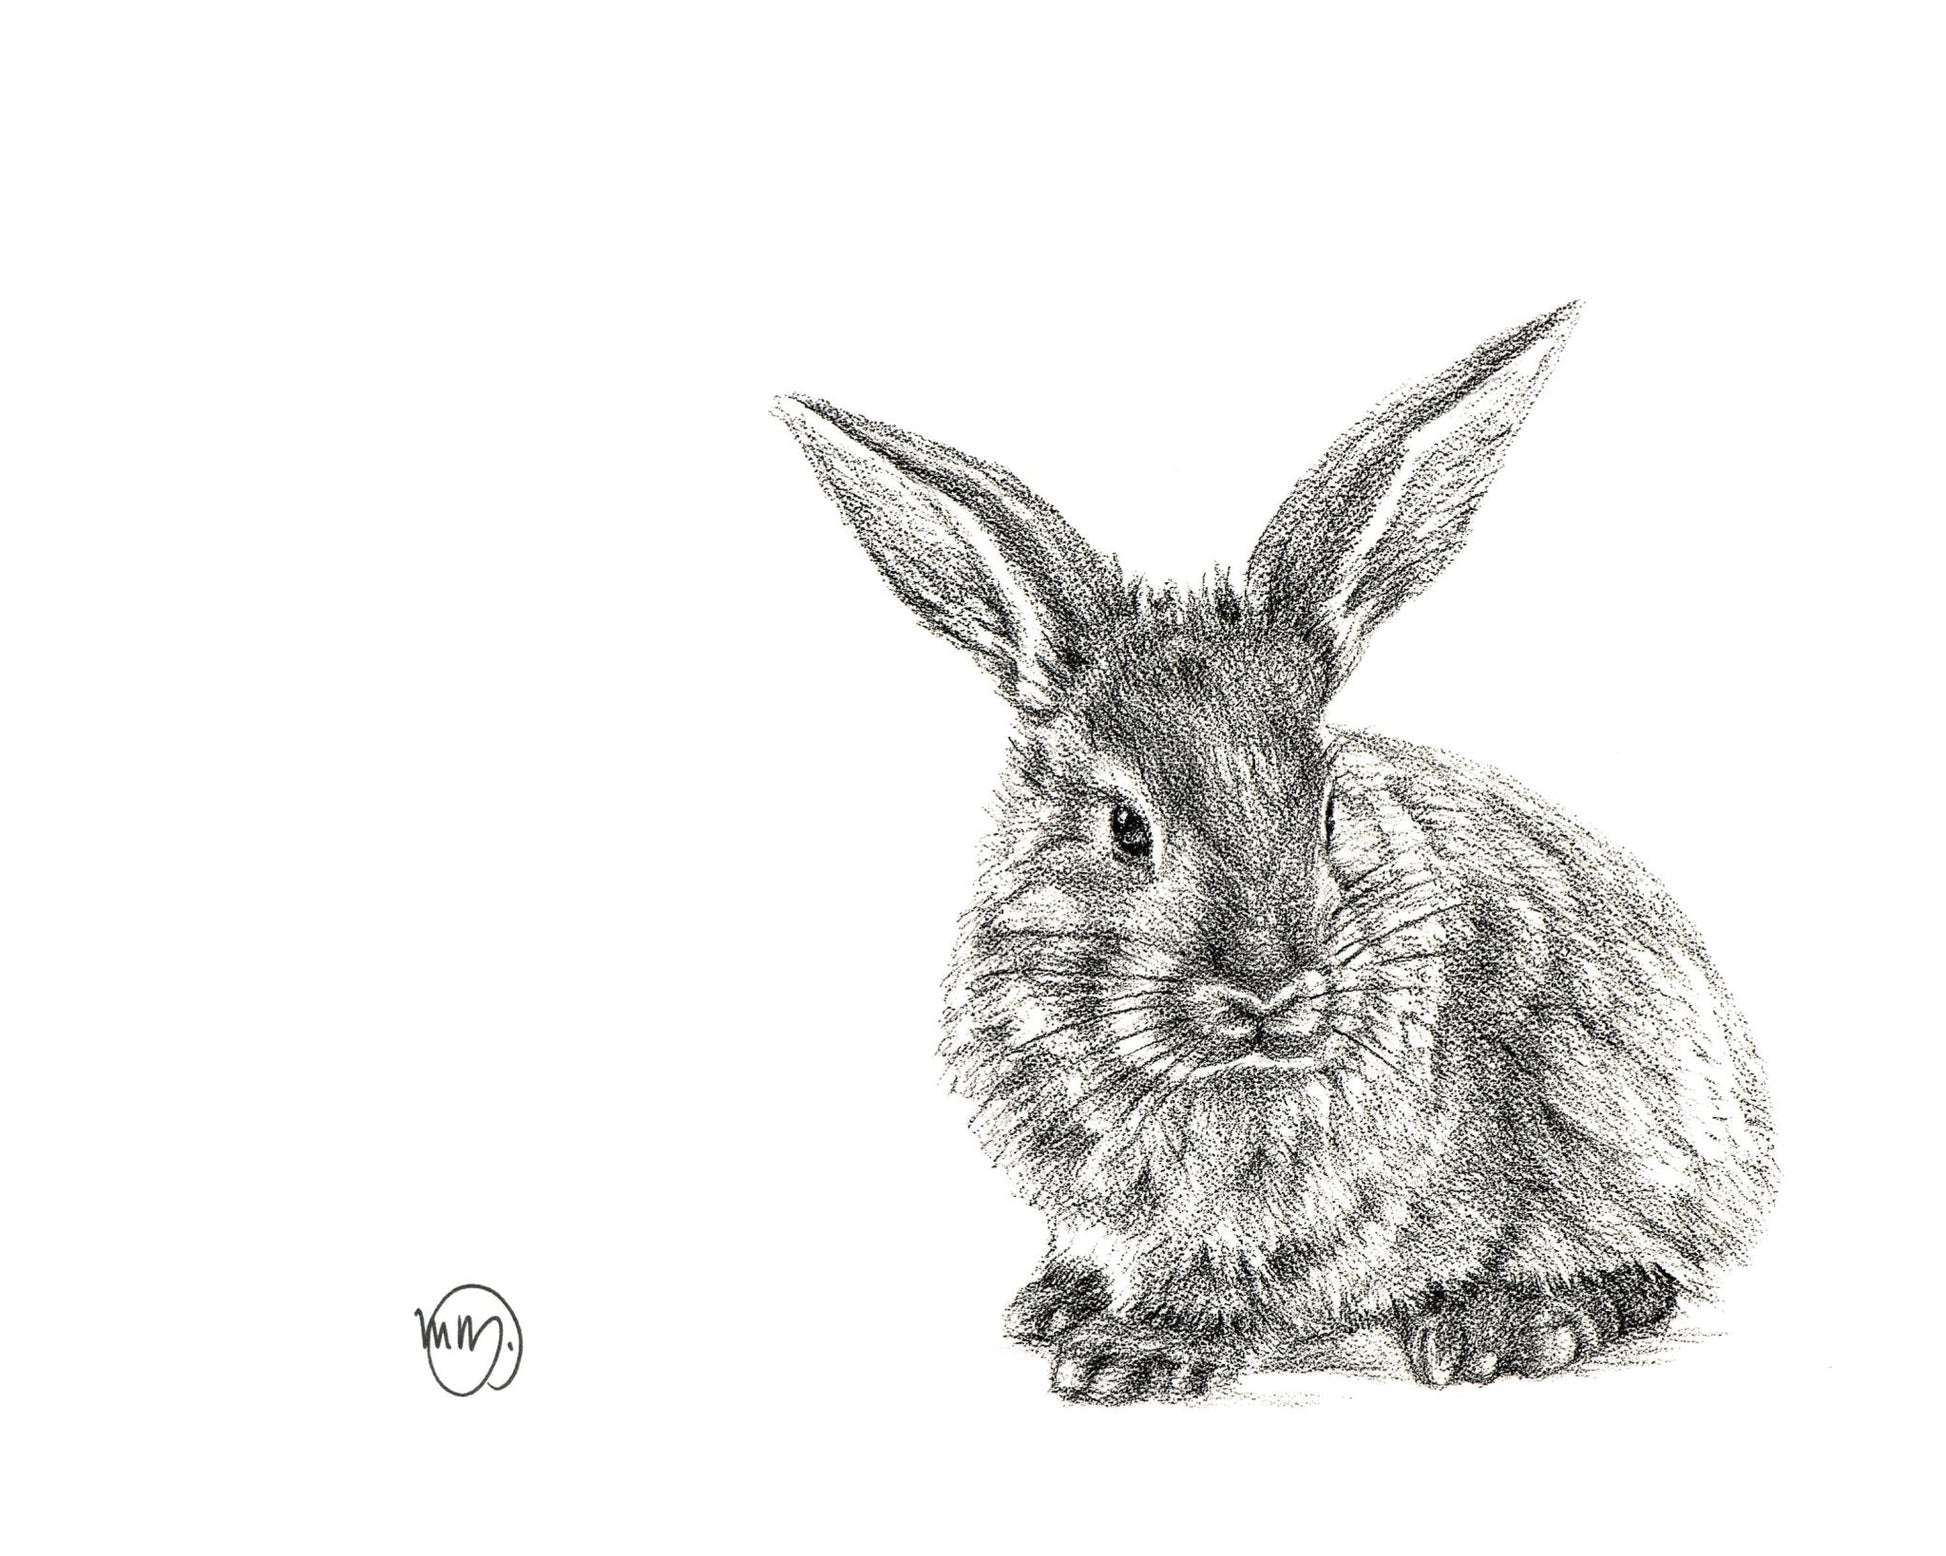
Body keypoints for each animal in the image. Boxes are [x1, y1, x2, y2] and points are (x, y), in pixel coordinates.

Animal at [774, 304, 1774, 1403]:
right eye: (1125, 827)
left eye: (1328, 810)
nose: (1267, 991)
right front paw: (1062, 1307)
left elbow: (1236, 1277)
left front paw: (1134, 1352)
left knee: (1641, 1266)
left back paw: (1504, 1325)